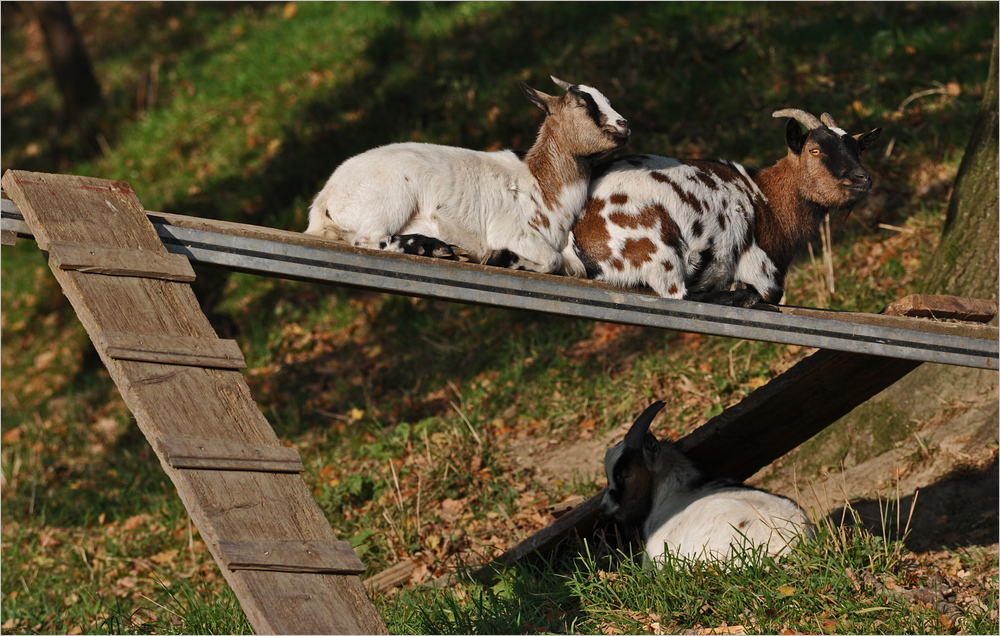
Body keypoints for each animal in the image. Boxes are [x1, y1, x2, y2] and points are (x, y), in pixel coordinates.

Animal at [308, 75, 628, 274]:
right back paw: (429, 247)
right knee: (368, 238)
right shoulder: (514, 232)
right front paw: (500, 258)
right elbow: (551, 260)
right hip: (390, 199)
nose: (624, 124)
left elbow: (567, 265)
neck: (542, 185)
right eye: (583, 104)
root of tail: (325, 198)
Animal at [564, 108, 884, 306]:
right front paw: (744, 293)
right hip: (656, 250)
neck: (765, 199)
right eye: (814, 150)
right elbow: (771, 292)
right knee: (680, 293)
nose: (862, 179)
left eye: (857, 149)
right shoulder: (760, 268)